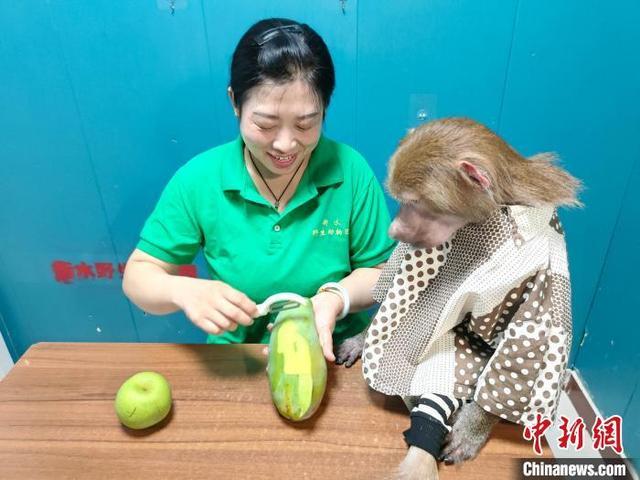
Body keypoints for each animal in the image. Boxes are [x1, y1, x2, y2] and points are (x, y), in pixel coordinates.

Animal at [336, 117, 580, 480]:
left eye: (415, 204)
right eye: (402, 202)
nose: (394, 230)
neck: (482, 221)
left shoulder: (545, 275)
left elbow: (521, 350)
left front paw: (473, 426)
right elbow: (397, 293)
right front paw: (361, 339)